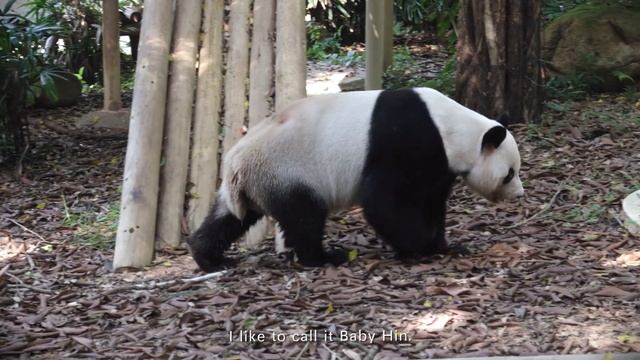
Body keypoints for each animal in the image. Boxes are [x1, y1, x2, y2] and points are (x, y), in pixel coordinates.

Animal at [186, 88, 524, 272]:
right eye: (510, 173)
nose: (519, 195)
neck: (452, 128)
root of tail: (235, 161)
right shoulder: (405, 140)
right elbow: (382, 201)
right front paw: (418, 247)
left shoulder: (438, 162)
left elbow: (431, 201)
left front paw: (445, 245)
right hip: (286, 169)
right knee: (305, 215)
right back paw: (322, 257)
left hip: (255, 183)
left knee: (230, 218)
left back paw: (208, 257)